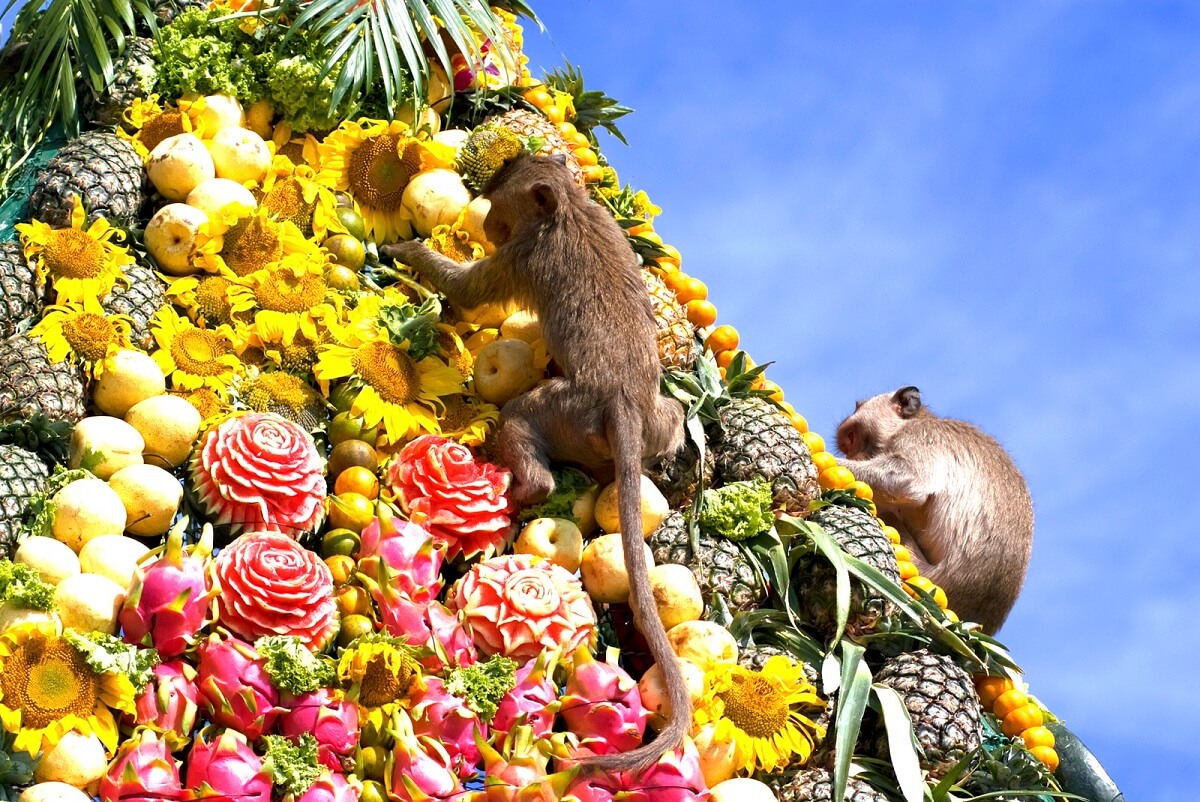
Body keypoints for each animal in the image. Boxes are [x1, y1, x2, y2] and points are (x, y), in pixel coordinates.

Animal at [381, 155, 689, 773]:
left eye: (500, 205)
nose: (488, 223)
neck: (568, 206)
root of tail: (621, 403)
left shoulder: (522, 255)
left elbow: (469, 288)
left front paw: (407, 251)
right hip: (650, 418)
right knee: (671, 413)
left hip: (567, 412)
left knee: (522, 417)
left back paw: (527, 488)